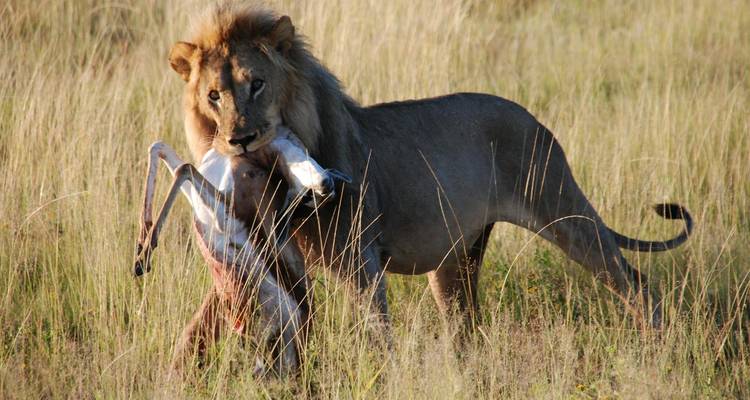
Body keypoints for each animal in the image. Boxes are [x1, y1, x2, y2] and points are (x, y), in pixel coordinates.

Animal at [167, 3, 692, 360]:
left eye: (256, 84)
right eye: (214, 95)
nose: (239, 139)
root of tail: (535, 119)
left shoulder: (360, 261)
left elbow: (376, 332)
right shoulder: (249, 247)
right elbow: (206, 320)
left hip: (562, 209)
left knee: (633, 281)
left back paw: (659, 350)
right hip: (456, 260)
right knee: (467, 323)